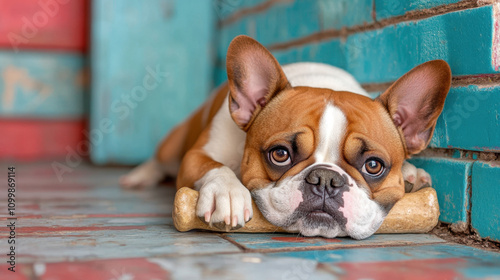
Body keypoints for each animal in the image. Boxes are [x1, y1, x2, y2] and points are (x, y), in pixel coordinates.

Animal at [119, 36, 452, 240]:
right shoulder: (197, 154)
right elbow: (213, 166)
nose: (326, 180)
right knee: (159, 158)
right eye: (280, 154)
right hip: (174, 145)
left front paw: (411, 173)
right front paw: (227, 191)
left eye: (373, 166)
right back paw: (138, 176)